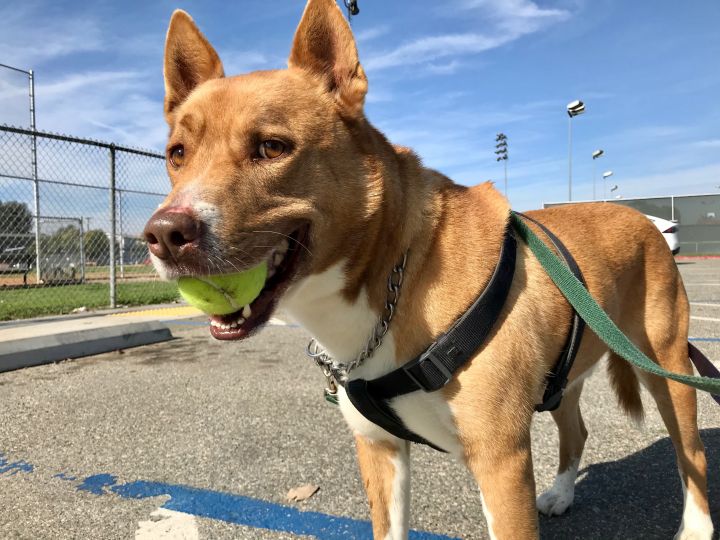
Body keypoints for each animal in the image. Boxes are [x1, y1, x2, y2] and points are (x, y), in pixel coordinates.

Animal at [142, 2, 716, 536]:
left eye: (272, 147)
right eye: (176, 153)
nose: (164, 235)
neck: (390, 282)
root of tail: (642, 216)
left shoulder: (501, 461)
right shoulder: (379, 449)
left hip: (666, 367)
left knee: (691, 452)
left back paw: (695, 526)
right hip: (567, 373)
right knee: (576, 429)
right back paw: (560, 493)